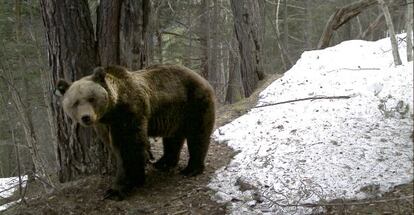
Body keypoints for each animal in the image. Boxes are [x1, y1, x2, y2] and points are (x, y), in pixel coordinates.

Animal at [55, 63, 215, 200]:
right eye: (75, 103)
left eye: (91, 98)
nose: (86, 117)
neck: (110, 113)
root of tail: (200, 77)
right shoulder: (103, 125)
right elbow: (115, 146)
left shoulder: (128, 113)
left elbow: (128, 148)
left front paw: (117, 189)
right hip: (175, 113)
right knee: (172, 138)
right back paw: (163, 163)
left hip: (194, 102)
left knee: (197, 134)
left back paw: (192, 168)